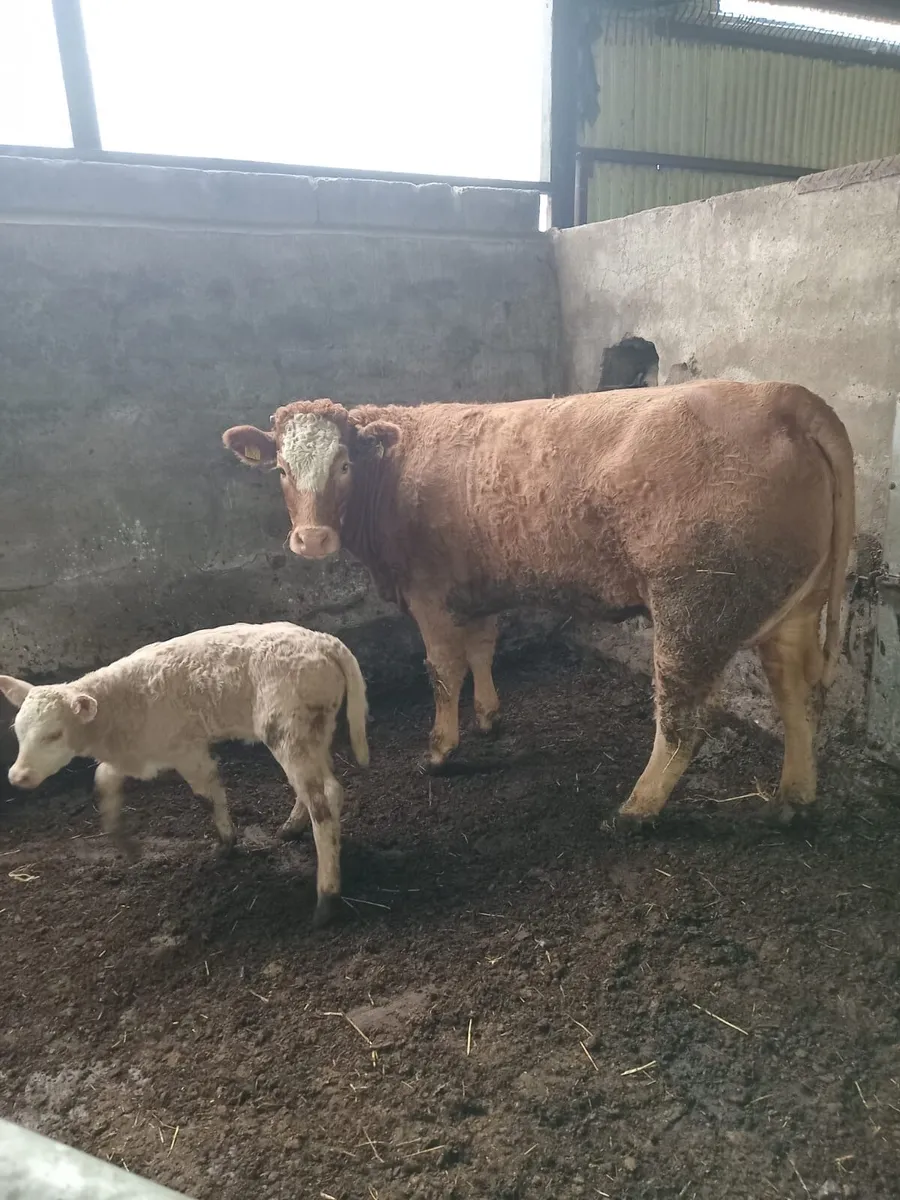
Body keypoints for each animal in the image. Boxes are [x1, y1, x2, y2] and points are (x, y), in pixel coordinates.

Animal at [1, 623, 369, 926]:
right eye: (17, 730)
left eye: (54, 735)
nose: (17, 776)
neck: (116, 710)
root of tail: (325, 642)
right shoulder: (134, 751)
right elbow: (103, 781)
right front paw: (124, 842)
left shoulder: (185, 749)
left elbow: (207, 794)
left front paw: (226, 844)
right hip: (315, 727)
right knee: (324, 785)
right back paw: (291, 828)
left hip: (287, 725)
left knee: (322, 800)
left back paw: (326, 899)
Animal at [222, 381, 855, 824]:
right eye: (282, 468)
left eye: (345, 464)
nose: (312, 539)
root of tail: (781, 395)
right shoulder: (477, 587)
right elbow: (482, 649)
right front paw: (489, 717)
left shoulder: (429, 593)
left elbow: (443, 669)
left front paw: (441, 749)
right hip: (793, 609)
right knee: (797, 697)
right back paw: (794, 798)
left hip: (693, 608)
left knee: (683, 719)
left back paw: (637, 809)